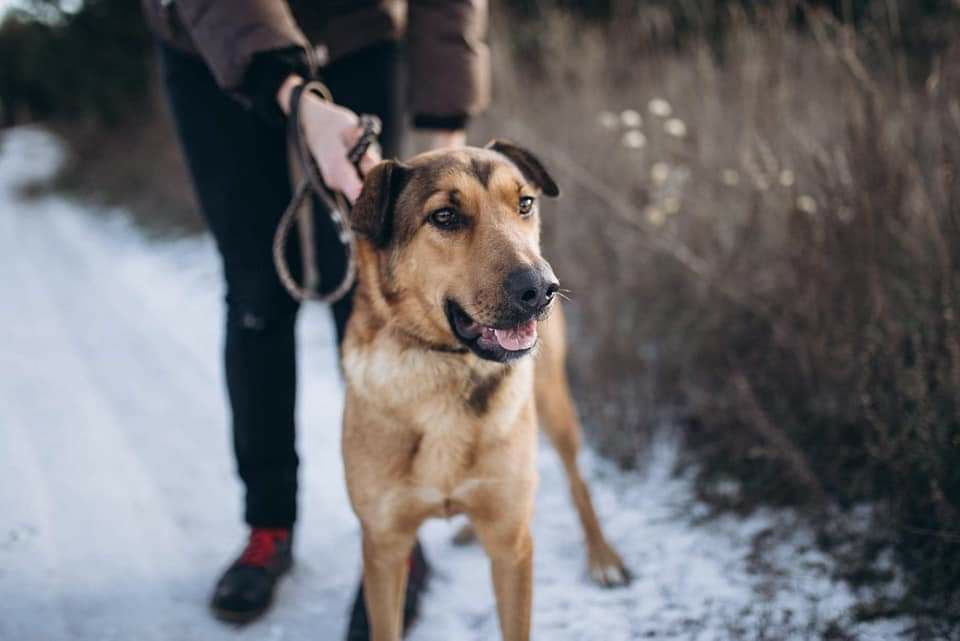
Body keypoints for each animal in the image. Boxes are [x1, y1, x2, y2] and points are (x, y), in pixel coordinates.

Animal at [342, 141, 628, 640]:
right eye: (445, 216)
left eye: (525, 204)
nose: (542, 289)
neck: (445, 370)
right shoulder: (384, 548)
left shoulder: (512, 547)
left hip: (555, 407)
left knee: (578, 481)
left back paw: (602, 557)